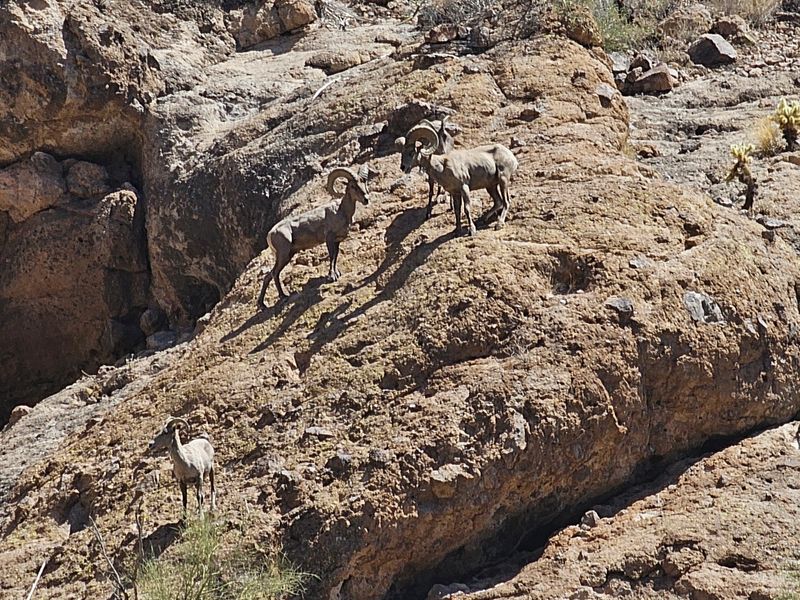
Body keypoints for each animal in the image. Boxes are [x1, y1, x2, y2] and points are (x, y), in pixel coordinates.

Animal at [256, 165, 370, 309]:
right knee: (274, 273)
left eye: (364, 182)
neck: (341, 211)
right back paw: (280, 297)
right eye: (353, 186)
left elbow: (335, 257)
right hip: (283, 255)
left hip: (287, 255)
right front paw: (332, 277)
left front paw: (337, 273)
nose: (366, 199)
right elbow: (331, 256)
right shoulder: (329, 239)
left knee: (269, 275)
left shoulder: (337, 241)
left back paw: (266, 303)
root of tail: (270, 234)